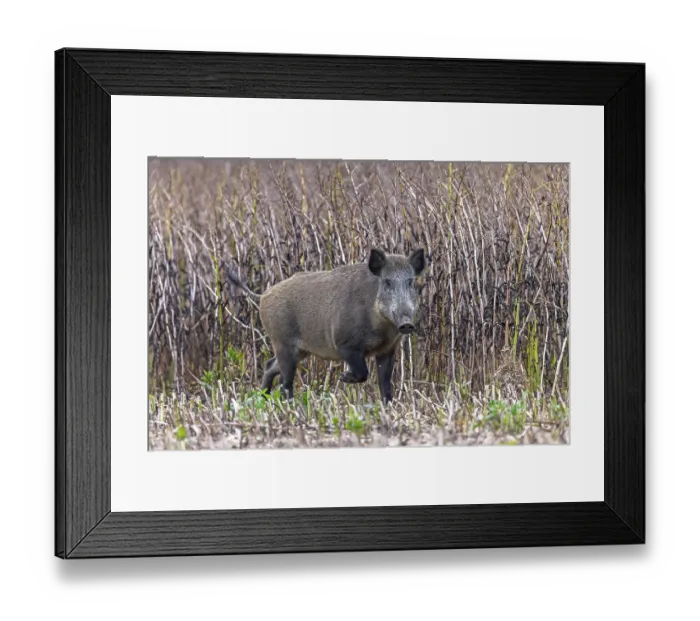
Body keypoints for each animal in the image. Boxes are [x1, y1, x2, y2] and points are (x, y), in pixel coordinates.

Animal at [228, 248, 426, 403]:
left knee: (270, 367)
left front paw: (387, 406)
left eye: (410, 282)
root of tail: (262, 296)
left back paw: (264, 399)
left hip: (300, 351)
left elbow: (385, 385)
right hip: (282, 343)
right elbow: (363, 372)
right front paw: (344, 378)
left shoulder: (388, 350)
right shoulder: (345, 344)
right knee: (285, 383)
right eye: (387, 282)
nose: (406, 324)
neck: (382, 327)